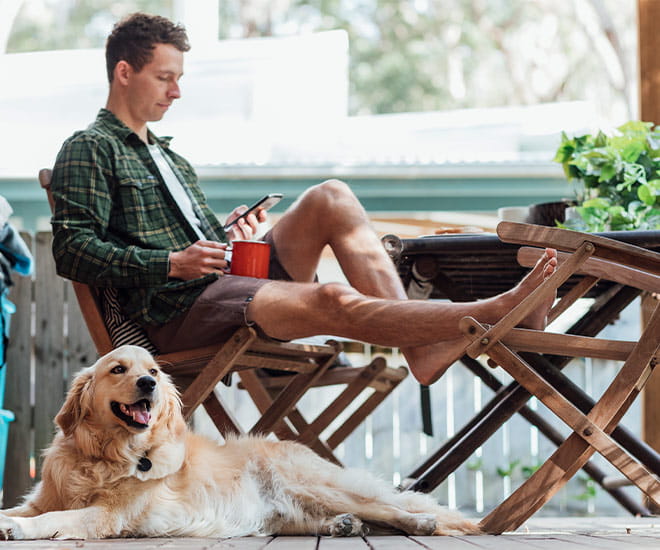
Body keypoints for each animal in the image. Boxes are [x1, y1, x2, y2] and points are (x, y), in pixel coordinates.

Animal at [0, 348, 476, 540]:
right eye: (118, 369)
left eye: (152, 370)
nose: (149, 384)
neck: (105, 455)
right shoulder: (43, 498)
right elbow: (25, 508)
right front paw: (10, 520)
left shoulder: (107, 515)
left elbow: (53, 519)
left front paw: (19, 530)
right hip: (288, 508)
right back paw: (341, 526)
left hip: (310, 484)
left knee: (388, 508)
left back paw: (418, 523)